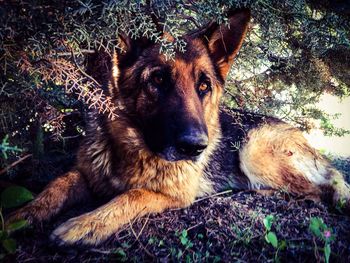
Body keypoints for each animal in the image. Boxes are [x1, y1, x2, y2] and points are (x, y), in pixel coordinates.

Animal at [8, 8, 350, 248]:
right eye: (158, 79)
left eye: (204, 86)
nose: (195, 147)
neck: (134, 152)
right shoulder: (87, 173)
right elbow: (57, 184)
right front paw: (20, 216)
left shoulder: (173, 195)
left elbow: (132, 195)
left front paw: (86, 224)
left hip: (255, 154)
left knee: (320, 188)